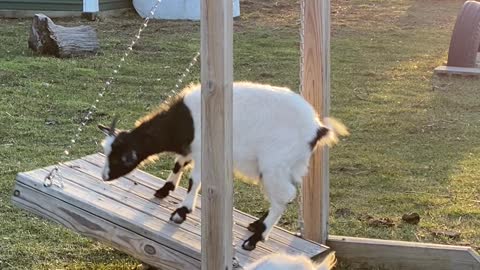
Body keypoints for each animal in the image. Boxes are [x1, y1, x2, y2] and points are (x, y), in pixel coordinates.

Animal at [97, 81, 346, 251]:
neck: (186, 120)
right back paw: (256, 225)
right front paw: (164, 190)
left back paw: (254, 240)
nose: (104, 177)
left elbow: (194, 180)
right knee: (287, 195)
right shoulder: (192, 148)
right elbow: (179, 163)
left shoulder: (203, 151)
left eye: (121, 158)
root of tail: (318, 128)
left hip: (274, 165)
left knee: (284, 196)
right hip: (289, 165)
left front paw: (181, 212)